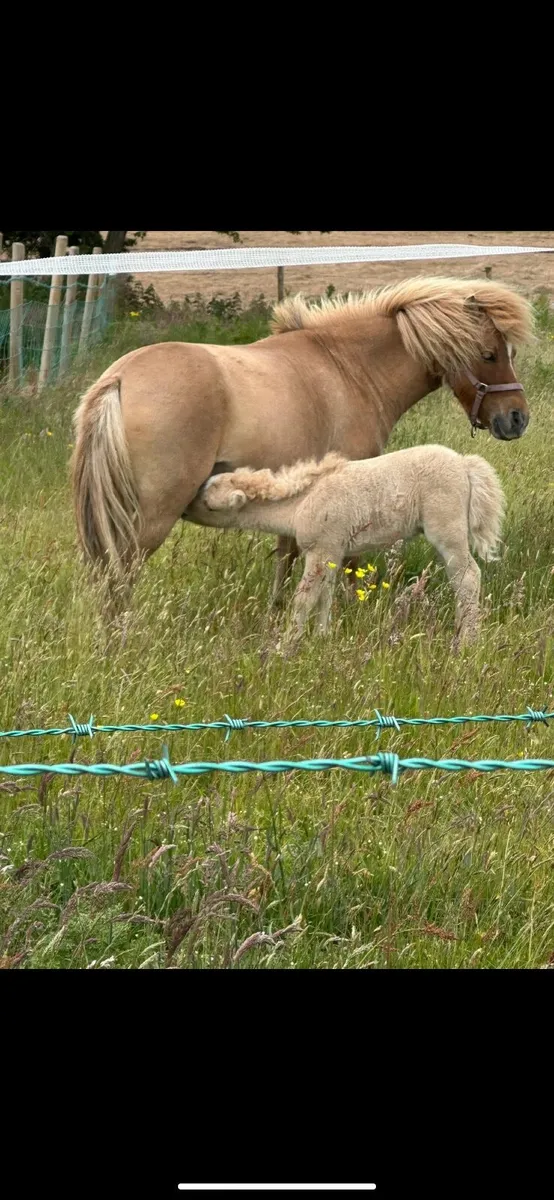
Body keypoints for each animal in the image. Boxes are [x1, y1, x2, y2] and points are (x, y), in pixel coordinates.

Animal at [71, 276, 533, 618]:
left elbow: (286, 554)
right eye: (489, 354)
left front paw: (278, 611)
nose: (517, 418)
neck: (348, 368)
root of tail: (118, 379)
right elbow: (346, 563)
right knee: (120, 578)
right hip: (151, 518)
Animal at [186, 446, 505, 649]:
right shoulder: (332, 552)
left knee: (468, 576)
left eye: (208, 503)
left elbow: (303, 599)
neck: (301, 502)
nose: (185, 508)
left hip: (447, 527)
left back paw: (466, 642)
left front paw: (286, 645)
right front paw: (322, 637)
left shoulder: (321, 549)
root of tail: (465, 465)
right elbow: (325, 595)